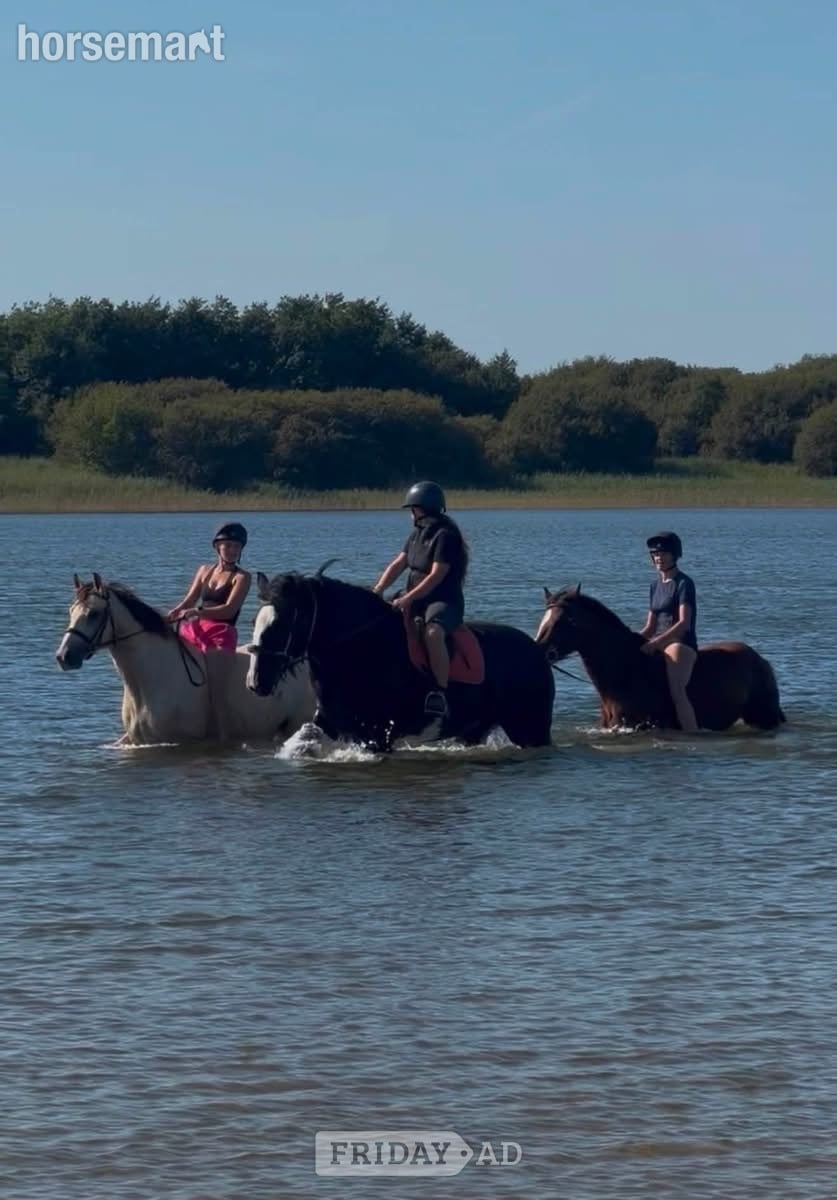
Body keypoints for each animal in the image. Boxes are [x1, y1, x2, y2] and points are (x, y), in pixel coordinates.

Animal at [245, 567, 555, 751]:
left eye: (281, 625)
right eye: (254, 622)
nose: (254, 682)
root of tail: (537, 651)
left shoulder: (378, 735)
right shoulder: (332, 723)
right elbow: (301, 740)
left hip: (530, 728)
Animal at [535, 585, 786, 732]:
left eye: (565, 621)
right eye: (544, 617)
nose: (540, 650)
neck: (627, 672)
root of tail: (760, 660)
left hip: (764, 717)